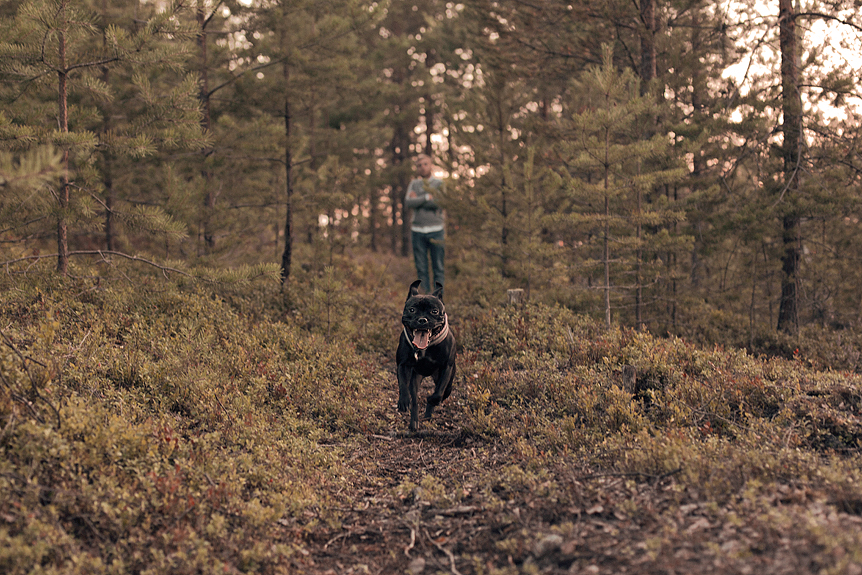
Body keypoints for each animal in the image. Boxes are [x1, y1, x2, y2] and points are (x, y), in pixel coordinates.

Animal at [398, 280, 460, 432]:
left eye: (434, 311)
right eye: (412, 310)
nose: (422, 320)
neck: (425, 347)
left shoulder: (446, 367)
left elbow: (438, 394)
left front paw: (432, 399)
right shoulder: (403, 365)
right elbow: (402, 384)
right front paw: (403, 401)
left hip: (446, 379)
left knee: (444, 391)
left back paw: (428, 414)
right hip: (415, 378)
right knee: (414, 401)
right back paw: (414, 422)